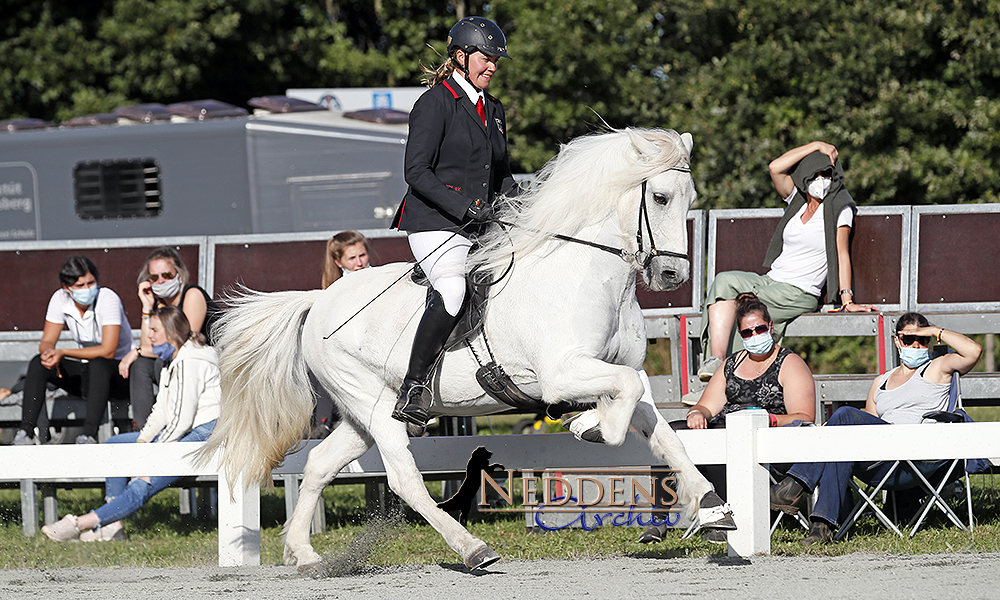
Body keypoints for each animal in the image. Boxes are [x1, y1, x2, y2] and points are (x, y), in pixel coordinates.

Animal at [201, 127, 736, 572]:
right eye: (660, 197)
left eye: (690, 198)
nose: (672, 275)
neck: (584, 272)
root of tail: (319, 300)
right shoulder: (562, 373)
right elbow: (617, 410)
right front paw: (588, 425)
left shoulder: (625, 371)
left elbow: (661, 431)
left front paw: (713, 511)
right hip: (372, 404)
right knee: (404, 479)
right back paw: (473, 549)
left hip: (362, 414)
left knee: (318, 466)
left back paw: (305, 554)